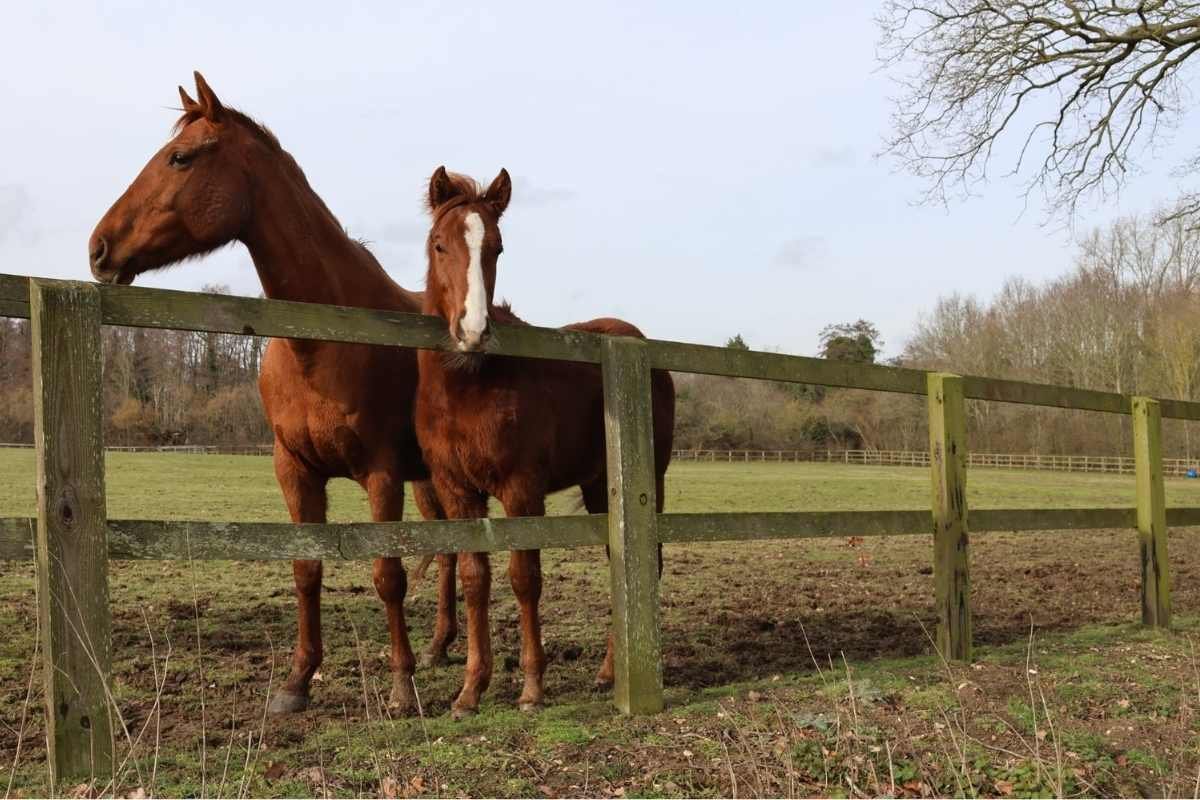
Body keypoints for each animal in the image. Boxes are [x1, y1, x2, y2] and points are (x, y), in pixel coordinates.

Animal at [87, 72, 461, 715]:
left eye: (180, 157)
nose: (98, 248)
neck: (322, 340)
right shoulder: (295, 469)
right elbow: (306, 569)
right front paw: (296, 683)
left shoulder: (382, 473)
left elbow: (387, 575)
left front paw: (400, 687)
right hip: (429, 480)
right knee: (449, 551)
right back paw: (440, 647)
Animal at [414, 167, 675, 717]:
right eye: (439, 244)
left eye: (497, 247)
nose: (473, 331)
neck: (468, 385)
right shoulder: (457, 490)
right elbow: (475, 578)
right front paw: (470, 690)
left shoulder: (522, 490)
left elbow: (524, 578)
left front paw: (532, 687)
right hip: (600, 486)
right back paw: (607, 672)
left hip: (648, 478)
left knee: (647, 562)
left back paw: (612, 672)